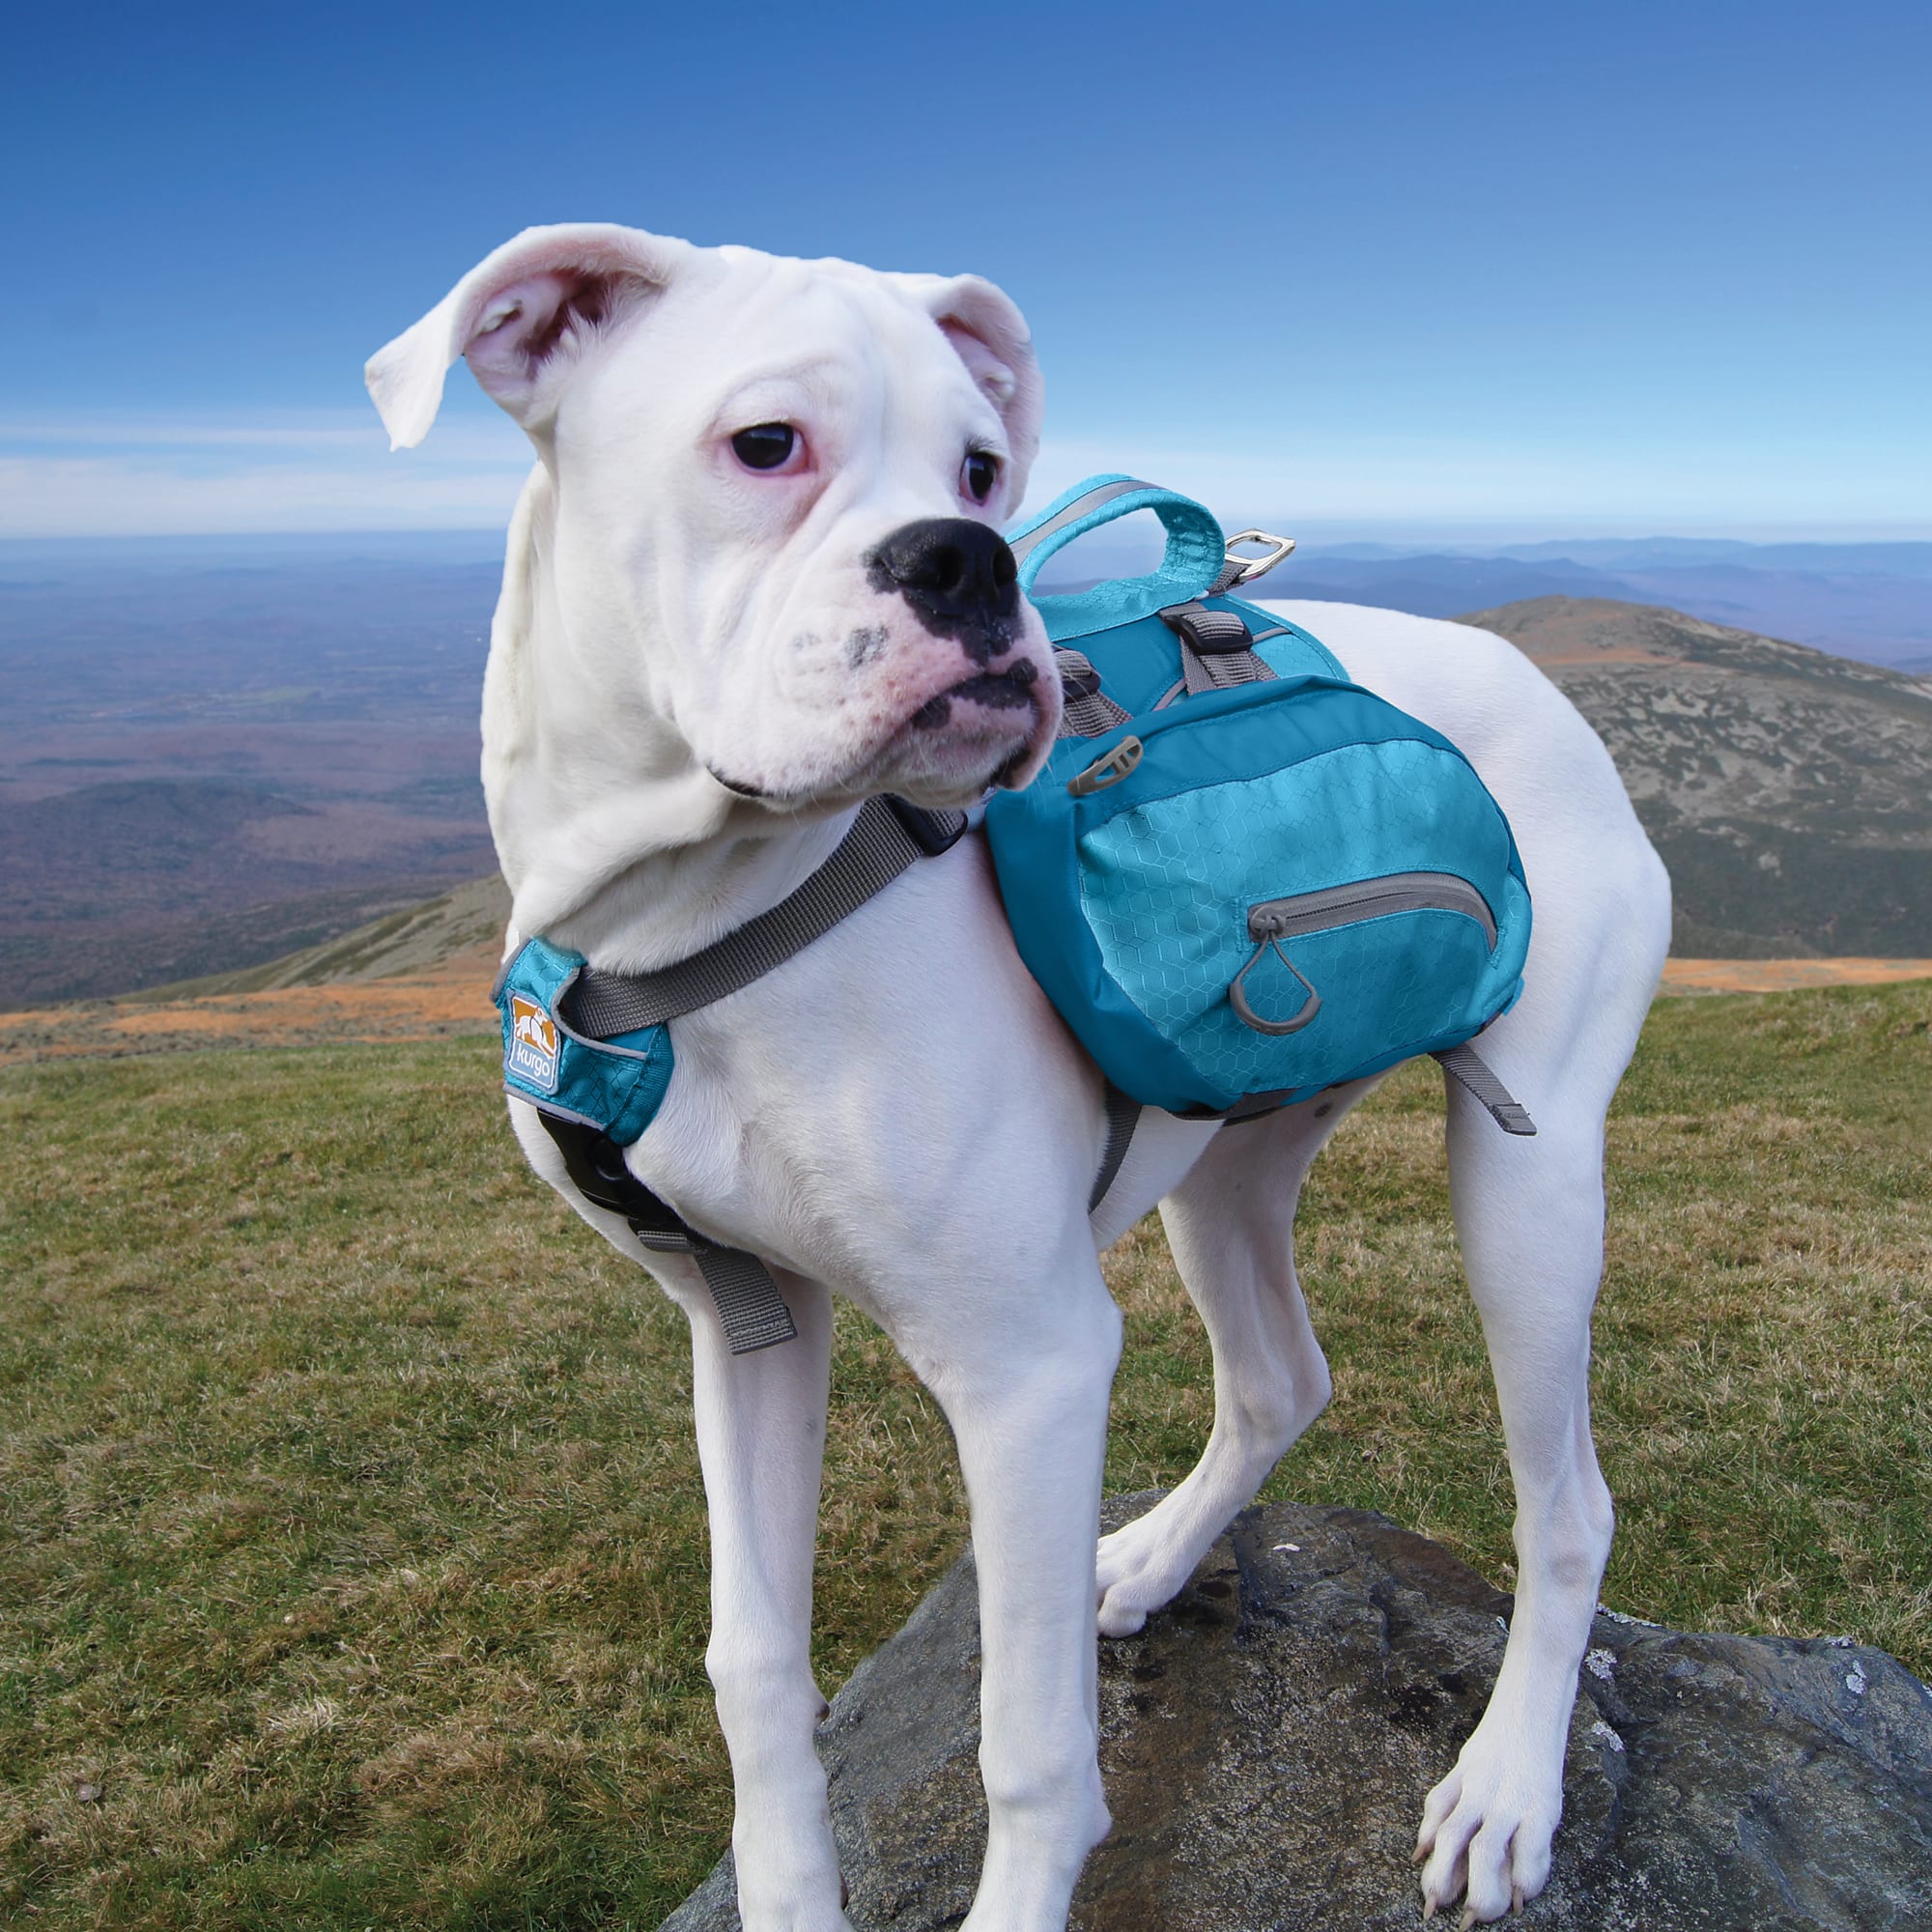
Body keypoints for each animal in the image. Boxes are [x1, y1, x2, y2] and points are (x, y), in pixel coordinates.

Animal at [365, 230, 1677, 1932]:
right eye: (766, 443)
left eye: (984, 469)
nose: (974, 562)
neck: (686, 923)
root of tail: (1531, 669)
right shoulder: (742, 1325)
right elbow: (751, 1663)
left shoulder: (1029, 1370)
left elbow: (1030, 1748)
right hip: (1229, 1161)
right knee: (1280, 1378)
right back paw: (1157, 1558)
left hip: (1528, 1180)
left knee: (1567, 1505)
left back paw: (1509, 1788)